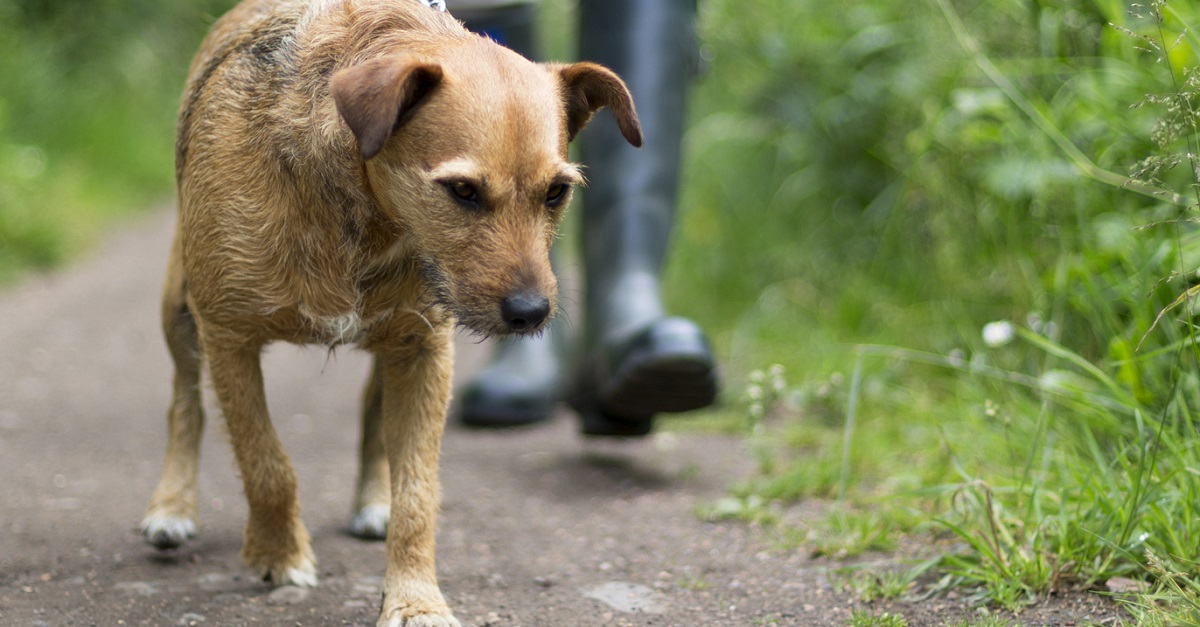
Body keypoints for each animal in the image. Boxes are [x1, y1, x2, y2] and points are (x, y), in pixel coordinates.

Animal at [136, 2, 643, 619]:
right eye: (462, 190)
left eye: (556, 192)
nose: (530, 312)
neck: (365, 217)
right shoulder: (229, 337)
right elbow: (266, 463)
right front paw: (279, 557)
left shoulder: (425, 352)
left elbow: (418, 495)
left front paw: (415, 599)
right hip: (179, 309)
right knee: (184, 402)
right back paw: (172, 506)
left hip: (393, 344)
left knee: (373, 413)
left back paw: (373, 499)